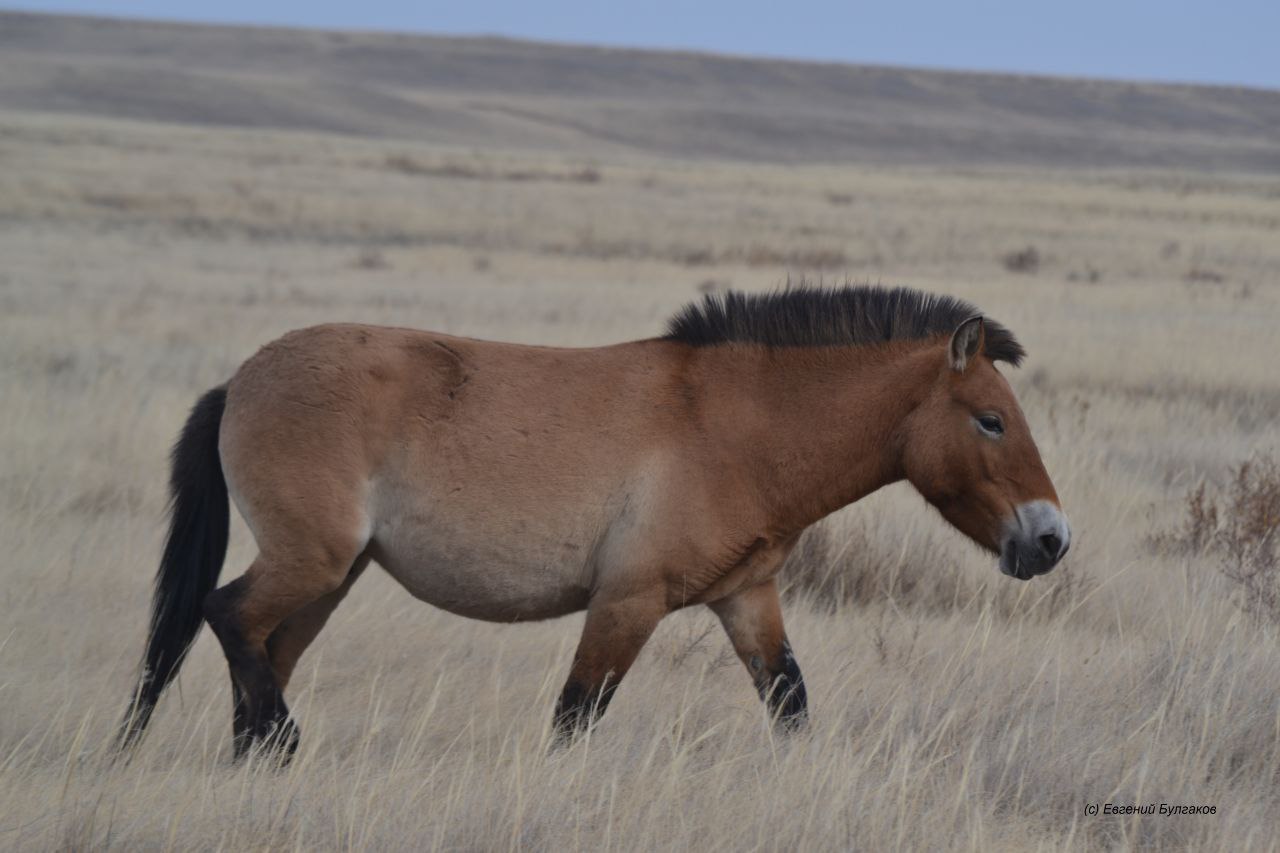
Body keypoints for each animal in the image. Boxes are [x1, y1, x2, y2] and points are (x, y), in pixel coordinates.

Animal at [117, 285, 1070, 758]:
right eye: (991, 419)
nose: (1051, 540)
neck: (737, 424)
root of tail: (240, 379)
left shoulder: (747, 599)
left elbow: (791, 705)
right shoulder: (625, 603)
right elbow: (575, 718)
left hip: (332, 575)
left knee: (262, 650)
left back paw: (254, 757)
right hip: (309, 561)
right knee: (226, 615)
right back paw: (281, 745)